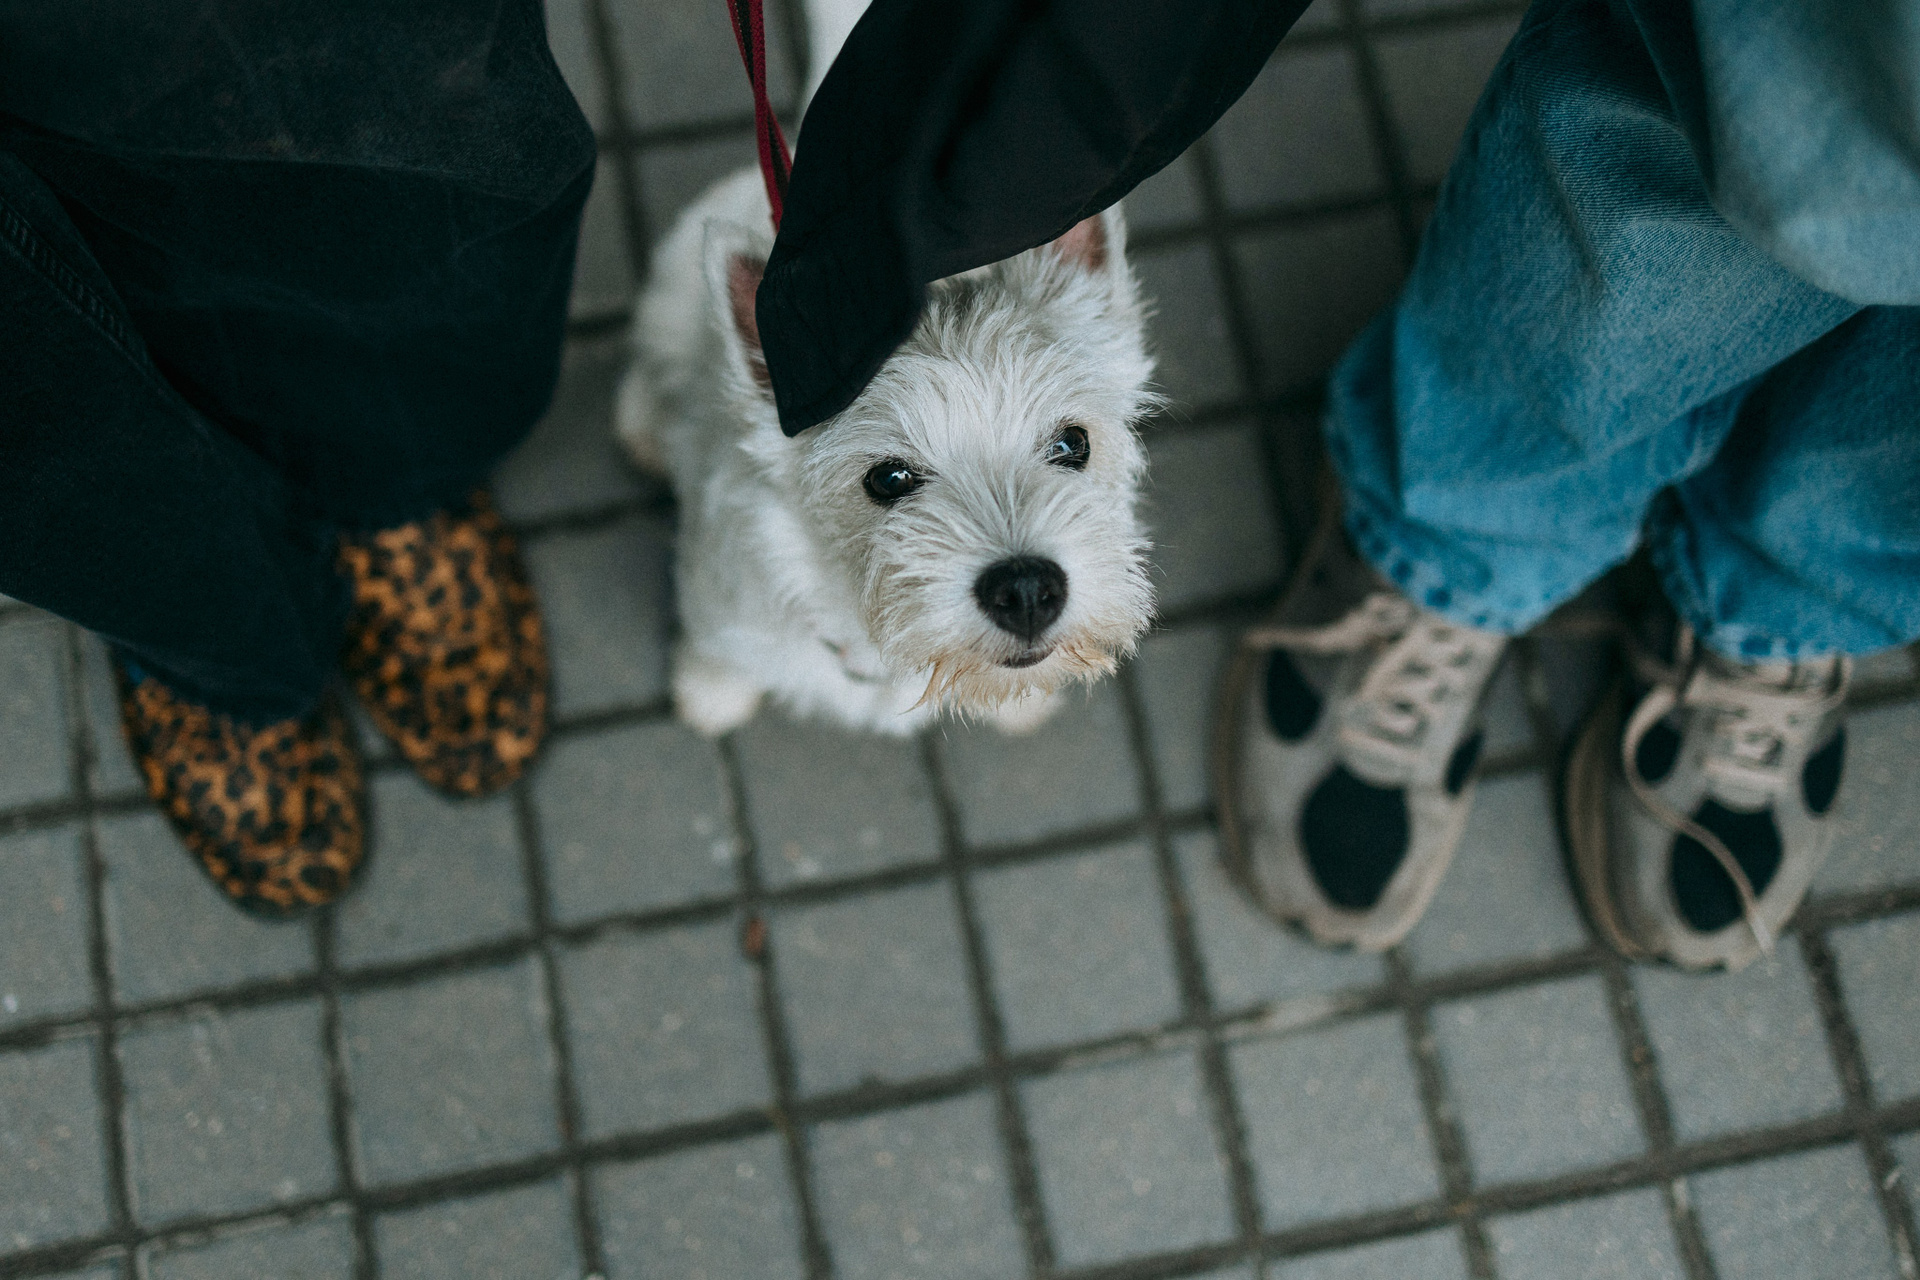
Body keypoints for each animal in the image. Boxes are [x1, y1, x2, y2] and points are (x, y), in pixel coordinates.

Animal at [615, 19, 1158, 738]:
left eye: (1074, 443)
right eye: (889, 478)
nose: (1026, 590)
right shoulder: (717, 603)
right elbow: (721, 653)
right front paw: (711, 696)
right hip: (675, 288)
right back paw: (646, 430)